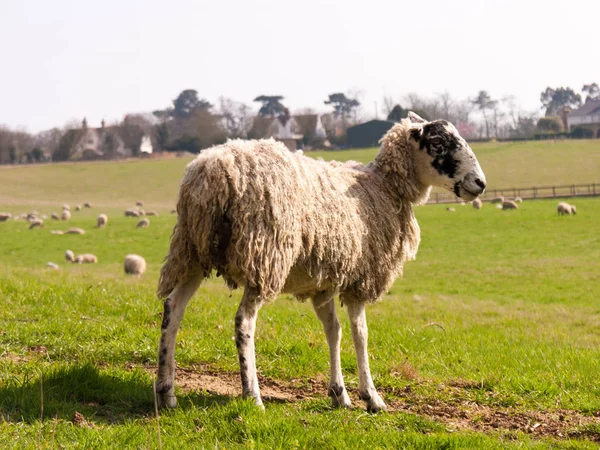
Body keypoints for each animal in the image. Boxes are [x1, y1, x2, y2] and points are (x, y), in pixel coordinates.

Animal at [155, 111, 488, 412]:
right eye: (438, 142)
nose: (480, 183)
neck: (384, 186)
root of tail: (211, 171)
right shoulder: (360, 278)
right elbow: (360, 334)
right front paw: (372, 397)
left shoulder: (323, 283)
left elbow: (333, 330)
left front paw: (340, 394)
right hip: (265, 256)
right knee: (243, 321)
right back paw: (253, 396)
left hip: (191, 251)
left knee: (173, 309)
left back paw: (166, 391)